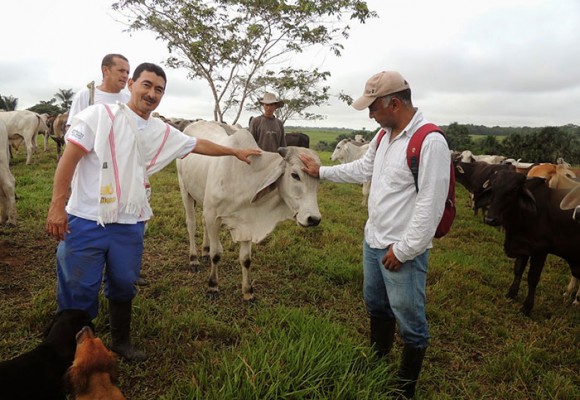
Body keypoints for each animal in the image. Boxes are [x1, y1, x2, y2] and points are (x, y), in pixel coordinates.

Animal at [177, 120, 322, 302]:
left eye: (318, 179)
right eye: (295, 175)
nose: (314, 219)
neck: (245, 177)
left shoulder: (246, 221)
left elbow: (246, 259)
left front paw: (248, 292)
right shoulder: (213, 216)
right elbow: (216, 254)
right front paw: (213, 286)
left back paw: (204, 251)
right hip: (185, 190)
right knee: (191, 224)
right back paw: (194, 259)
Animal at [478, 170, 576, 314]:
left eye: (513, 190)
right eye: (493, 188)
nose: (490, 219)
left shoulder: (540, 251)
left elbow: (532, 278)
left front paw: (527, 306)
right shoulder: (523, 247)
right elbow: (518, 270)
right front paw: (511, 293)